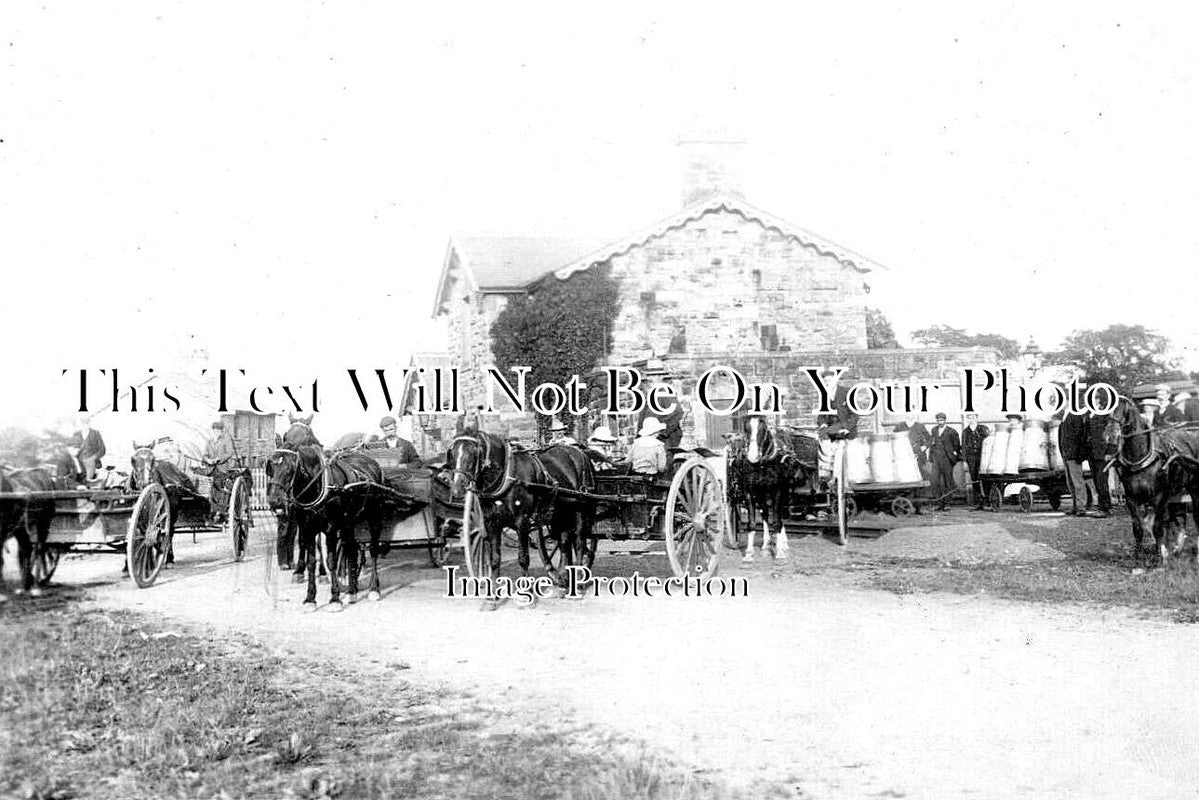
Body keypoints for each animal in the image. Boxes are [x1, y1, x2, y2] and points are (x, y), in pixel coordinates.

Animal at [724, 417, 820, 561]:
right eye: (746, 428)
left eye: (763, 429)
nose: (752, 456)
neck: (763, 464)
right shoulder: (749, 492)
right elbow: (753, 523)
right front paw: (749, 553)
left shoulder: (777, 492)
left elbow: (776, 521)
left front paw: (779, 552)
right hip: (762, 495)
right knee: (765, 514)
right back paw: (766, 544)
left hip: (784, 493)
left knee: (779, 514)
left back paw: (783, 543)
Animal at [1103, 398, 1199, 566]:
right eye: (1106, 408)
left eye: (1124, 409)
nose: (1110, 435)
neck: (1140, 458)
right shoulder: (1131, 499)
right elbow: (1138, 529)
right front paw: (1138, 557)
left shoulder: (1159, 498)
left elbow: (1158, 527)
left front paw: (1160, 557)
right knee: (1179, 518)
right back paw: (1176, 548)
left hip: (1193, 489)